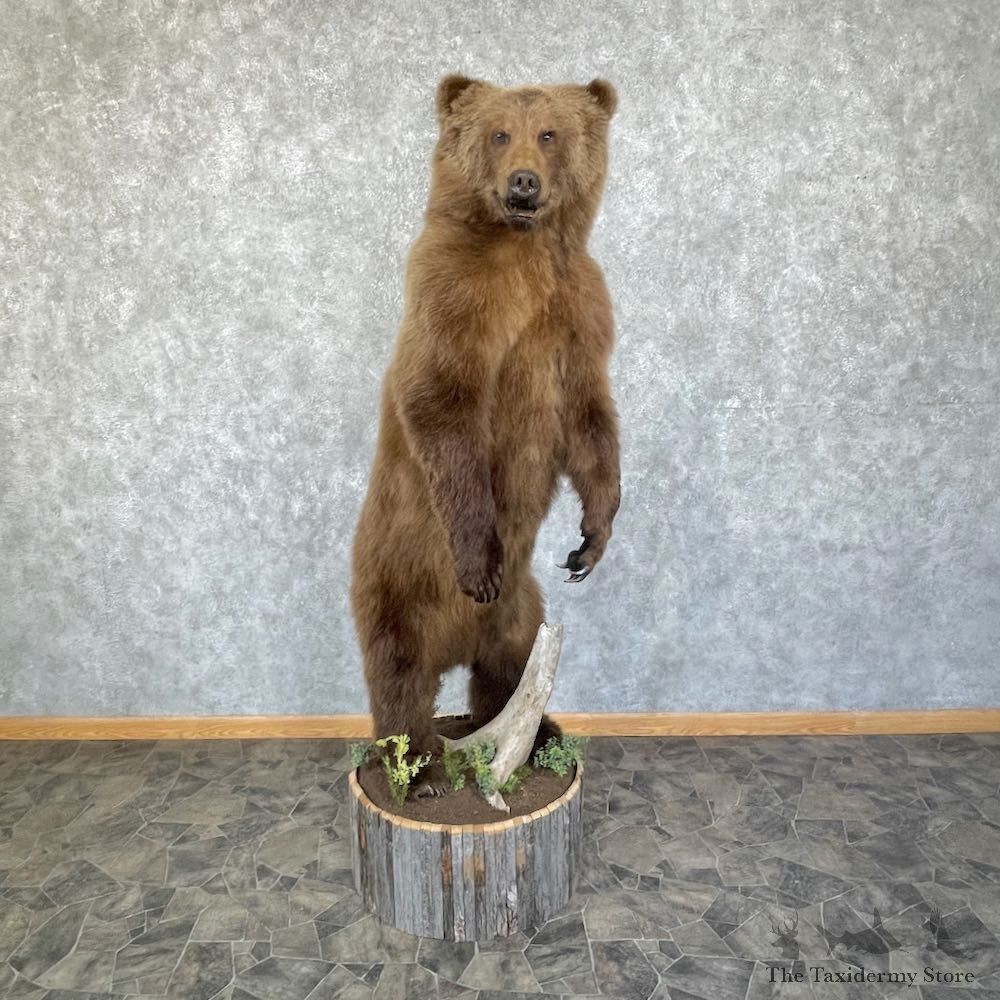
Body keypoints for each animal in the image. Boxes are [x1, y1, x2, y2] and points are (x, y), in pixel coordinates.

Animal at [351, 74, 621, 778]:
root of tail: (458, 640)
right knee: (398, 671)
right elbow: (441, 402)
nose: (524, 181)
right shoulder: (455, 294)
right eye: (499, 133)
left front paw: (591, 541)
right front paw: (479, 561)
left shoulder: (578, 308)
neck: (523, 246)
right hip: (398, 578)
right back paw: (417, 766)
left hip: (523, 612)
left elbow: (590, 419)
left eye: (549, 133)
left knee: (509, 669)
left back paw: (536, 733)